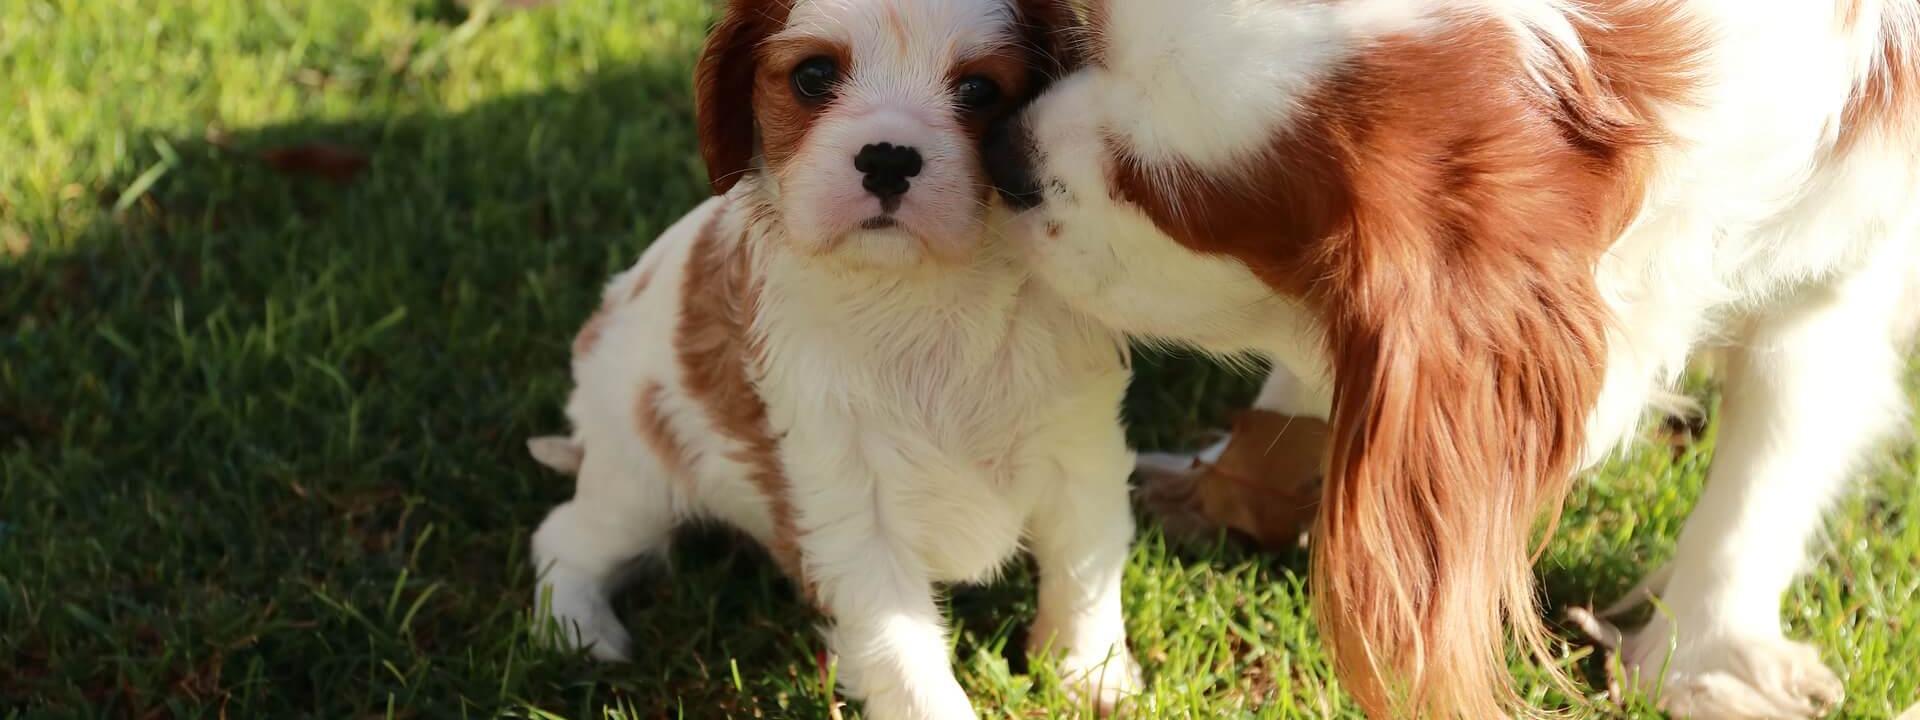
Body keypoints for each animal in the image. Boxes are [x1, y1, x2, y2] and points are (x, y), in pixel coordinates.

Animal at [522, 2, 1136, 718]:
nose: (888, 158)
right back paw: (580, 630)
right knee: (563, 535)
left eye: (980, 90)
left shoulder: (1080, 453)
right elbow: (905, 657)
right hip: (638, 479)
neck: (923, 293)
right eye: (814, 76)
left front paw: (1089, 676)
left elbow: (1082, 571)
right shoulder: (848, 503)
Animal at [990, 1, 1920, 720]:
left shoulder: (1847, 261)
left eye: (1170, 201)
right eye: (1085, 39)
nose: (1005, 156)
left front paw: (1703, 654)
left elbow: (1766, 470)